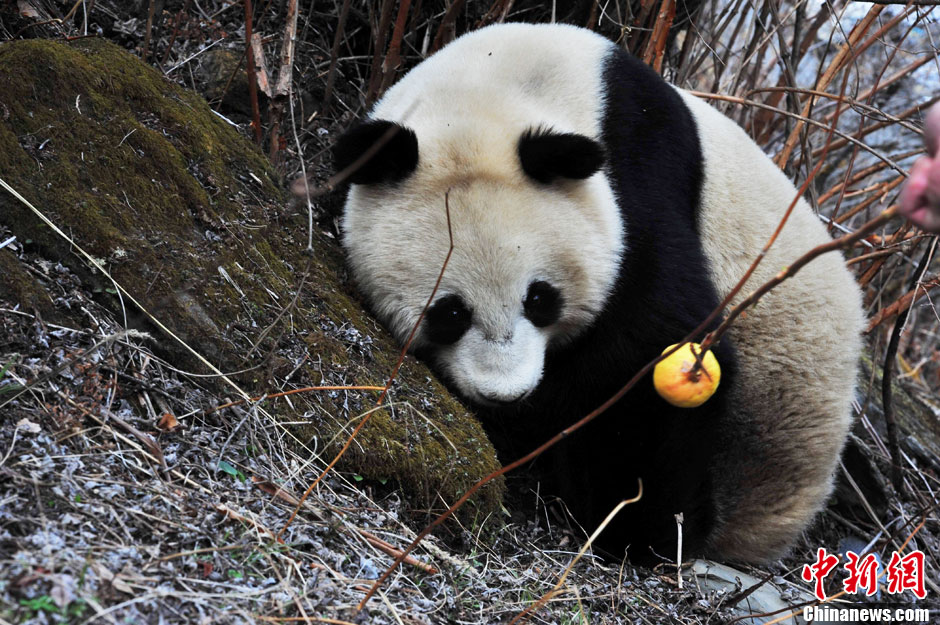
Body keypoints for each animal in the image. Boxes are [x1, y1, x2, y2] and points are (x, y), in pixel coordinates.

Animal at [334, 22, 864, 564]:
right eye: (450, 313)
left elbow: (655, 344)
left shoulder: (641, 180)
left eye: (540, 299)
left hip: (765, 425)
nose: (507, 393)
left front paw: (631, 526)